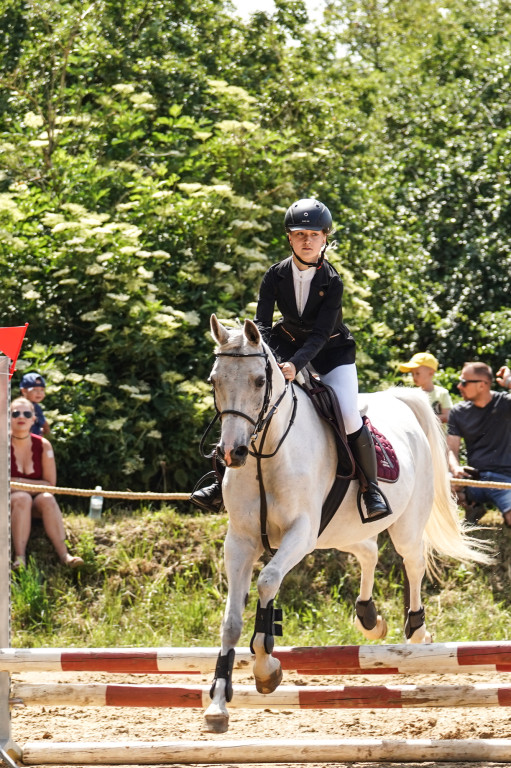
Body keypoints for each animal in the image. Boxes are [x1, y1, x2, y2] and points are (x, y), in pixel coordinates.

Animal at [203, 314, 492, 732]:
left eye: (259, 381)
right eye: (214, 380)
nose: (232, 452)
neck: (265, 455)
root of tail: (399, 400)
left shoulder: (300, 534)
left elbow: (268, 581)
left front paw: (265, 668)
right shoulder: (240, 541)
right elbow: (230, 620)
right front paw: (218, 704)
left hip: (402, 525)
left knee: (413, 561)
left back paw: (416, 629)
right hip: (340, 532)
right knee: (368, 551)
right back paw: (369, 618)